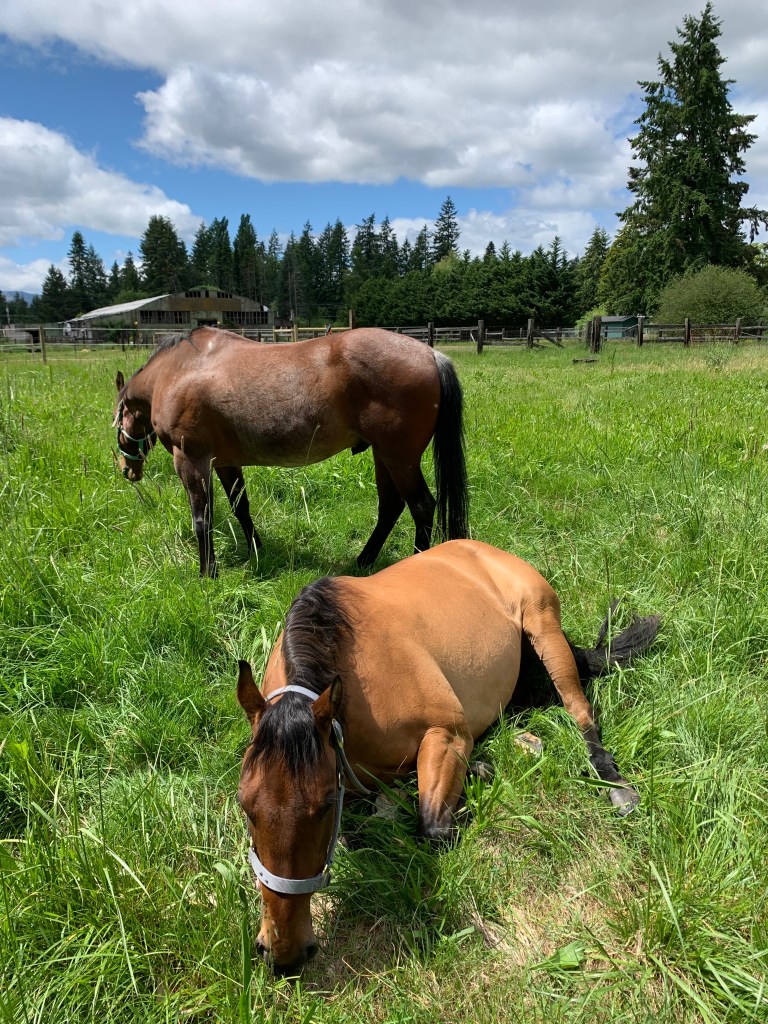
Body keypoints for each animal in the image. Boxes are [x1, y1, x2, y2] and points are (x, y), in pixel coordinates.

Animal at [113, 326, 468, 576]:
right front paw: (256, 551)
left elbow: (203, 518)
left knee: (422, 506)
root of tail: (431, 354)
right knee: (392, 506)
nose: (126, 470)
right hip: (384, 456)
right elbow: (241, 507)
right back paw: (363, 560)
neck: (179, 369)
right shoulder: (224, 462)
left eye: (116, 420)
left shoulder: (191, 460)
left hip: (399, 458)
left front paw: (207, 572)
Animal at [236, 539, 660, 973]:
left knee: (580, 713)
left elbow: (432, 828)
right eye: (245, 806)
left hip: (545, 629)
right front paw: (475, 770)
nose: (283, 953)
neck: (354, 681)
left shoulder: (448, 734)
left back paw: (615, 786)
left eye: (324, 806)